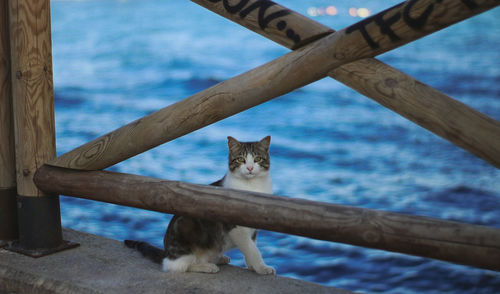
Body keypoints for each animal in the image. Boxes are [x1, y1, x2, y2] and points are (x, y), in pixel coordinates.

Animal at [123, 137, 276, 274]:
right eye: (240, 159)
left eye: (257, 159)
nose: (250, 168)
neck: (252, 186)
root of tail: (167, 253)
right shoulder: (236, 228)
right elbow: (252, 250)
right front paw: (261, 267)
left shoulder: (253, 227)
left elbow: (252, 246)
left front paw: (252, 266)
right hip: (185, 231)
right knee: (178, 267)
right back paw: (206, 266)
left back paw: (218, 258)